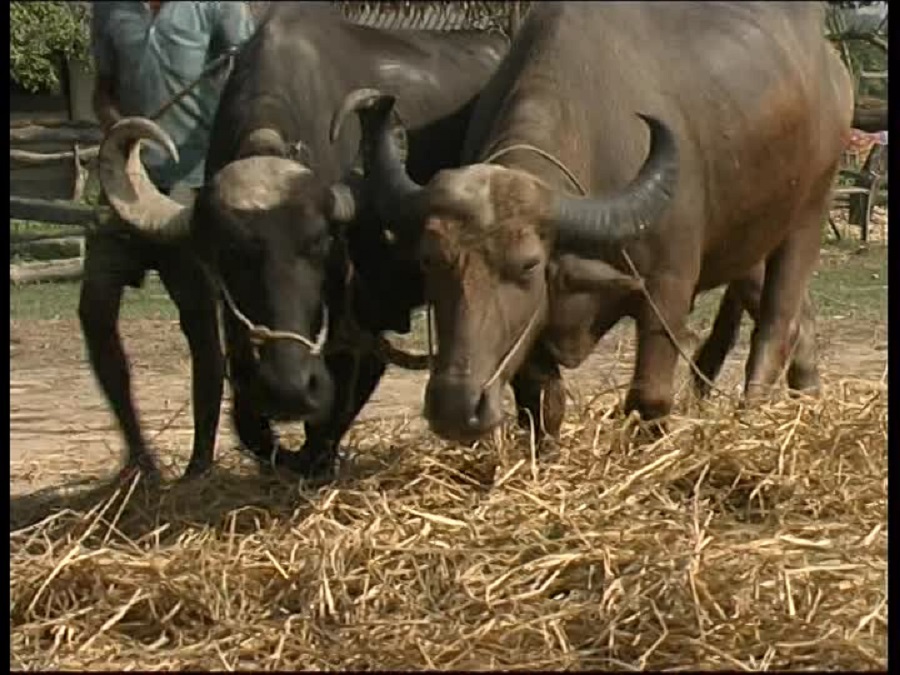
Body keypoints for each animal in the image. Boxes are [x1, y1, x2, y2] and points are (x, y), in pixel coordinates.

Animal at [97, 2, 510, 478]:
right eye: (232, 255)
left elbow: (333, 401)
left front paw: (317, 458)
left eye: (321, 245)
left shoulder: (353, 307)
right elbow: (250, 421)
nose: (289, 388)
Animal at [336, 2, 852, 446]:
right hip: (750, 239)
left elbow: (649, 397)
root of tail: (833, 70)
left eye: (527, 265)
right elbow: (541, 403)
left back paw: (753, 413)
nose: (455, 408)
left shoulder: (667, 285)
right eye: (429, 260)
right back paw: (807, 397)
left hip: (810, 209)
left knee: (776, 324)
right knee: (797, 319)